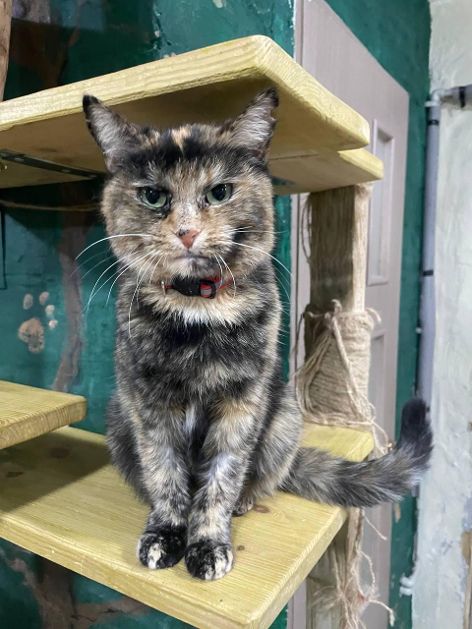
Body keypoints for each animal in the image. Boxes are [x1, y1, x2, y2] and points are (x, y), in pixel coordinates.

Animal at [82, 88, 432, 581]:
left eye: (220, 191)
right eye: (153, 196)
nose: (187, 233)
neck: (198, 308)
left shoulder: (243, 402)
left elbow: (222, 476)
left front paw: (208, 543)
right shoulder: (149, 403)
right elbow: (164, 474)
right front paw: (164, 535)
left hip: (283, 411)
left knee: (262, 476)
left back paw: (244, 502)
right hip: (118, 413)